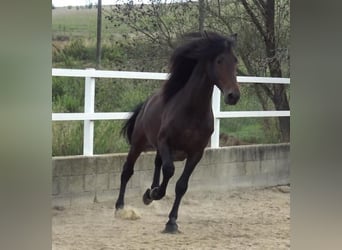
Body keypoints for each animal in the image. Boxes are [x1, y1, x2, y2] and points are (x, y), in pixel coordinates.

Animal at [115, 30, 240, 232]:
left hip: (160, 149)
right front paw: (155, 195)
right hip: (138, 144)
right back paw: (120, 207)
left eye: (235, 60)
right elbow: (169, 170)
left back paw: (149, 193)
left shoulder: (196, 153)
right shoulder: (166, 143)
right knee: (128, 170)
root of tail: (146, 103)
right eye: (219, 60)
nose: (233, 96)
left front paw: (171, 221)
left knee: (157, 164)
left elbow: (181, 185)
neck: (192, 112)